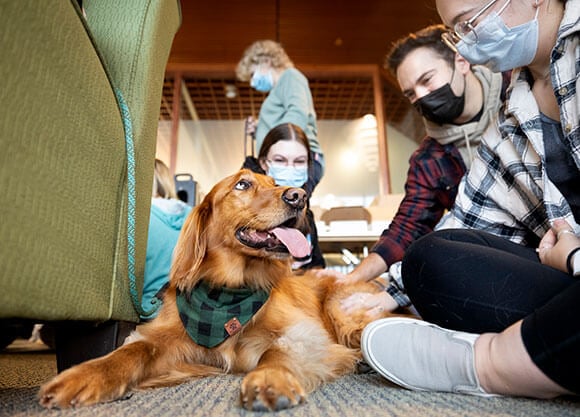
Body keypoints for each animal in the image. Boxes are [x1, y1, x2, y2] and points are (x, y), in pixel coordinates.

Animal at [40, 168, 402, 410]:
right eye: (242, 184)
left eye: (276, 184)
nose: (299, 196)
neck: (230, 291)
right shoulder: (174, 344)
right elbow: (134, 349)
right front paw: (87, 374)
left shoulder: (304, 332)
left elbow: (276, 351)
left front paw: (269, 379)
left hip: (343, 312)